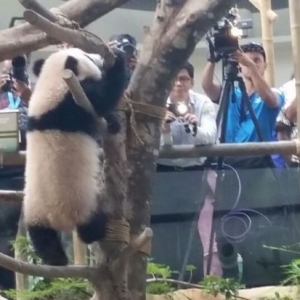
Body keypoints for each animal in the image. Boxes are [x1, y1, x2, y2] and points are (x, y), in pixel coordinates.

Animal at [23, 48, 126, 266]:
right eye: (87, 56)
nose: (99, 57)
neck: (53, 80)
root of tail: (58, 219)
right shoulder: (73, 100)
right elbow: (104, 96)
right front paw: (119, 59)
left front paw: (114, 122)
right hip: (83, 203)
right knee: (88, 229)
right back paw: (98, 229)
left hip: (34, 211)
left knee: (42, 239)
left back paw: (56, 259)